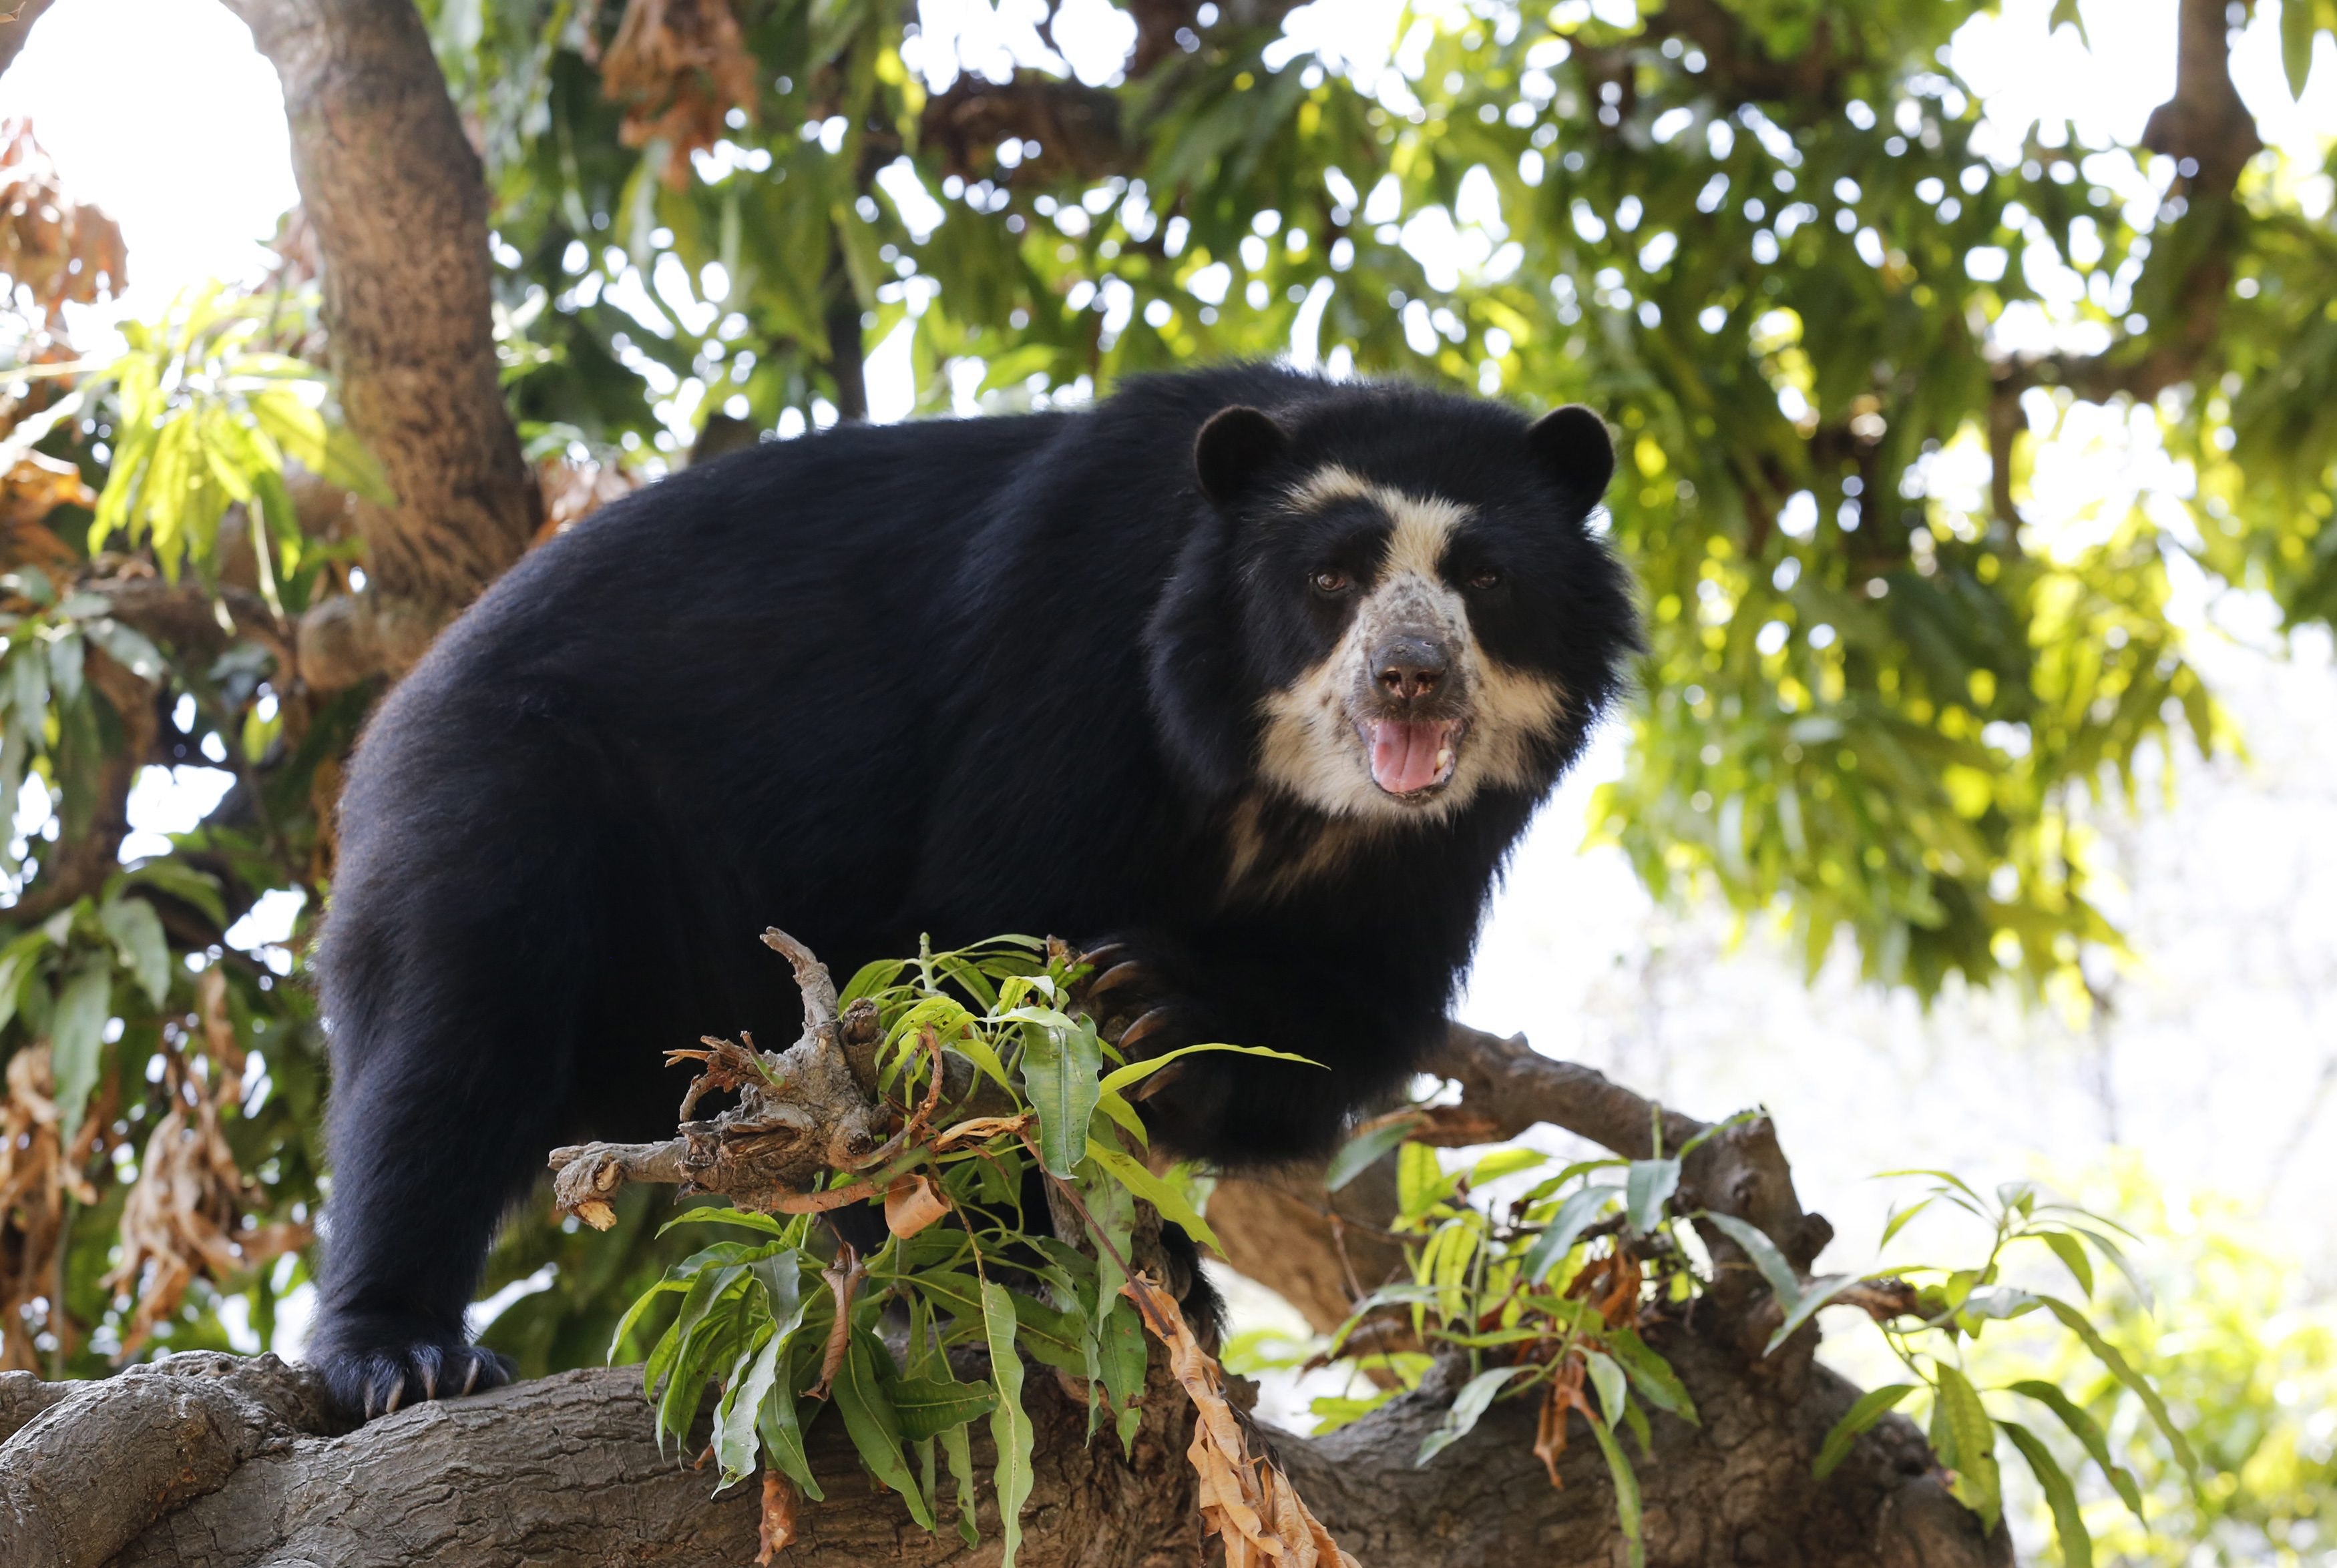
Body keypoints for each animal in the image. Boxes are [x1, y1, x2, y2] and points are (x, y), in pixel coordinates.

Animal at [306, 369, 1627, 1420]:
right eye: (1330, 578)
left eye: (1485, 577)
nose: (1412, 678)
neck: (1286, 790)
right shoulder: (1072, 657)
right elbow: (989, 949)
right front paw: (1052, 1256)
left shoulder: (1440, 846)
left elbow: (1345, 1015)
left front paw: (1155, 1009)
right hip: (507, 787)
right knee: (453, 1038)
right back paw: (404, 1353)